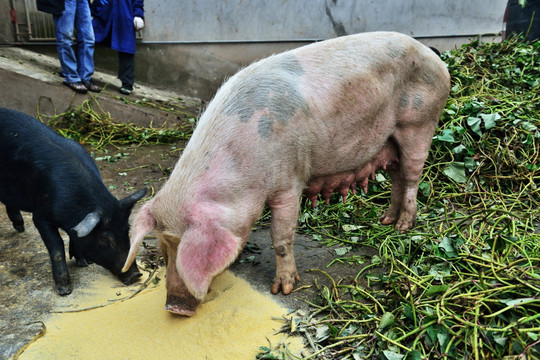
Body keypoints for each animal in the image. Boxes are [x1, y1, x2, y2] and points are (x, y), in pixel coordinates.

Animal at [0, 108, 146, 294]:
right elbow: (57, 247)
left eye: (127, 230)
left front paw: (83, 263)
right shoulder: (41, 216)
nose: (136, 275)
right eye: (105, 238)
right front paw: (64, 290)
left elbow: (73, 236)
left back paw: (20, 228)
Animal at [122, 32, 452, 316]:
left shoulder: (290, 181)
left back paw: (403, 227)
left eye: (181, 248)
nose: (173, 307)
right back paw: (386, 220)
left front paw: (283, 289)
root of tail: (430, 52)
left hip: (420, 123)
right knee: (397, 177)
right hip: (391, 141)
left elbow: (280, 237)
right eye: (163, 251)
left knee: (412, 178)